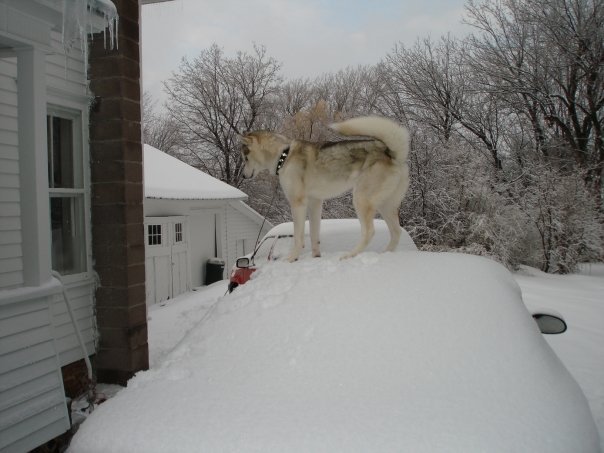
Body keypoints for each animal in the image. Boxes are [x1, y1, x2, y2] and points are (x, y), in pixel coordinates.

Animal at [241, 116, 410, 262]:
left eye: (245, 158)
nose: (243, 175)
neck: (284, 154)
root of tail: (392, 153)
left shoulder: (298, 203)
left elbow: (298, 237)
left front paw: (291, 258)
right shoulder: (315, 203)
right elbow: (314, 235)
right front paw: (316, 257)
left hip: (361, 199)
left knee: (369, 232)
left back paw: (350, 255)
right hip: (386, 205)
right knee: (396, 232)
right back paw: (385, 253)